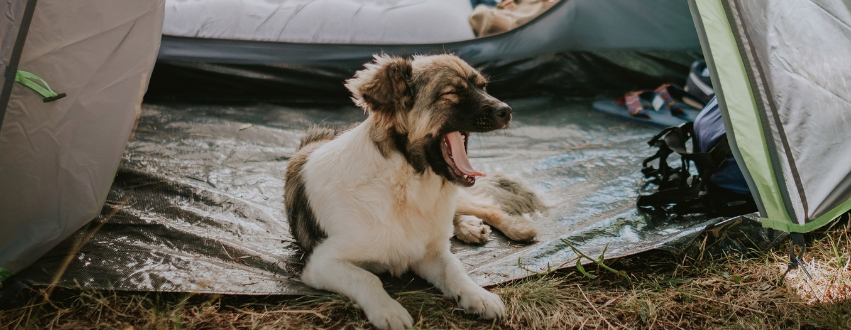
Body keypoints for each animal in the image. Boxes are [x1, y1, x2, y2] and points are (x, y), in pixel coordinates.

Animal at [282, 54, 544, 330]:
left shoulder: (431, 254)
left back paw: (512, 228)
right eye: (451, 92)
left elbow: (455, 270)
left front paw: (479, 296)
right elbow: (367, 278)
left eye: (483, 87)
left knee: (484, 206)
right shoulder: (323, 262)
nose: (507, 111)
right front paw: (388, 310)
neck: (407, 182)